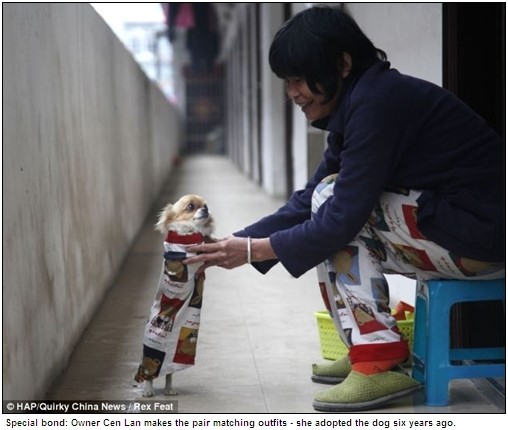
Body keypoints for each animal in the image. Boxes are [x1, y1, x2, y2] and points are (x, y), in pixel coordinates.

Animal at [134, 194, 213, 396]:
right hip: (152, 349)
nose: (206, 209)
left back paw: (169, 388)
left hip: (170, 361)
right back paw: (148, 389)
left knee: (169, 373)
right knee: (149, 375)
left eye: (206, 205)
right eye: (191, 206)